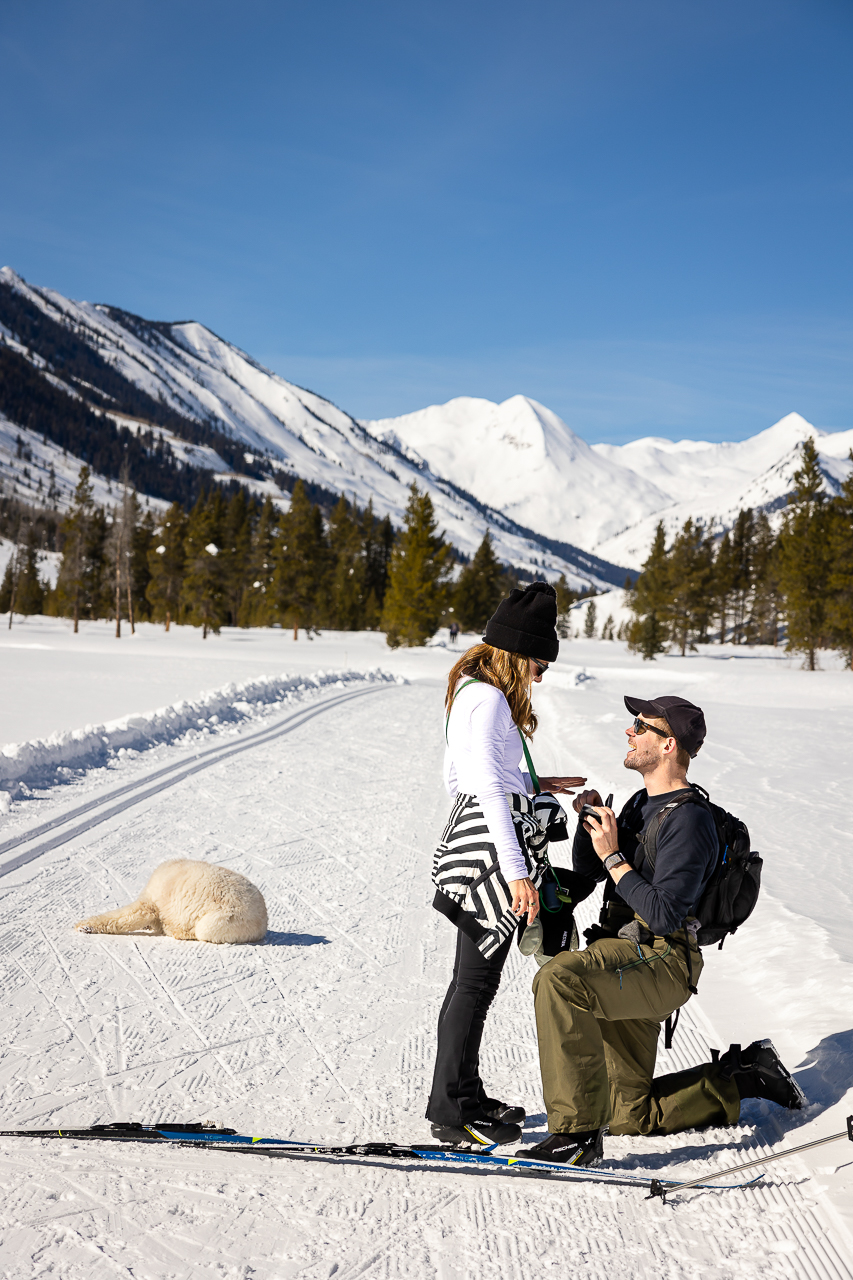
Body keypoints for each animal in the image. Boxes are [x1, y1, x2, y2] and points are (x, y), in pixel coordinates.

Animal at [78, 855, 268, 947]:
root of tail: (263, 923)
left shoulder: (150, 903)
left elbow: (124, 917)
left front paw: (84, 926)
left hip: (223, 921)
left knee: (202, 932)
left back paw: (178, 931)